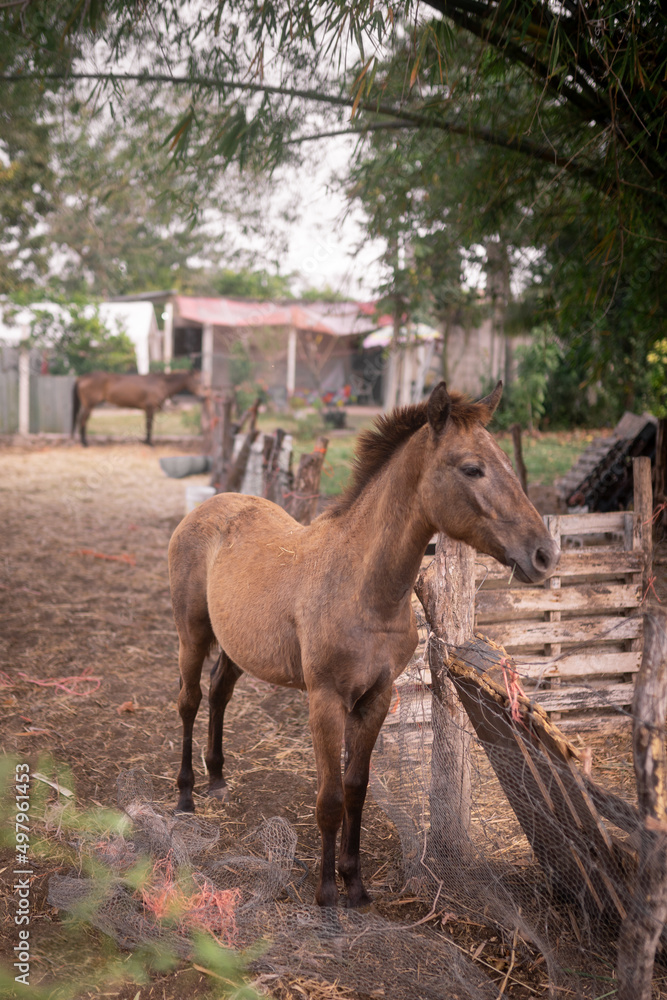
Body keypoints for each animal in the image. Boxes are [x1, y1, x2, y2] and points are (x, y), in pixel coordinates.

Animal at [72, 369, 201, 446]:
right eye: (197, 381)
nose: (202, 396)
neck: (162, 383)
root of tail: (82, 377)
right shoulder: (150, 408)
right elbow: (149, 425)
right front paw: (149, 443)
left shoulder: (148, 410)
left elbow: (147, 425)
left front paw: (145, 441)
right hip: (89, 405)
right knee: (82, 420)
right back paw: (84, 443)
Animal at [168, 381, 560, 908]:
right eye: (471, 468)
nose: (544, 554)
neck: (363, 589)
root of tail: (207, 507)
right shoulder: (325, 701)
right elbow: (330, 797)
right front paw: (326, 891)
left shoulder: (376, 698)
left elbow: (356, 787)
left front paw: (355, 883)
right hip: (192, 632)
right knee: (189, 700)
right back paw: (186, 794)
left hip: (236, 646)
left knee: (219, 693)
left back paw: (217, 780)